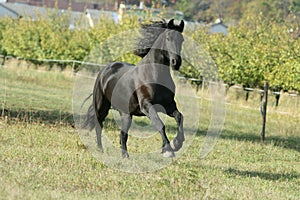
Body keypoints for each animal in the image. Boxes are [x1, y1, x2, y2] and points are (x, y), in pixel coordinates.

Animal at [82, 19, 185, 159]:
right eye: (168, 38)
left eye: (182, 40)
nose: (176, 62)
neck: (154, 74)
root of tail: (105, 70)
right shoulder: (147, 105)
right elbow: (159, 124)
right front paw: (168, 150)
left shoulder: (168, 105)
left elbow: (179, 117)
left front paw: (177, 143)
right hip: (101, 106)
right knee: (99, 125)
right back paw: (101, 149)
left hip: (126, 114)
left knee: (123, 134)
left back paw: (124, 155)